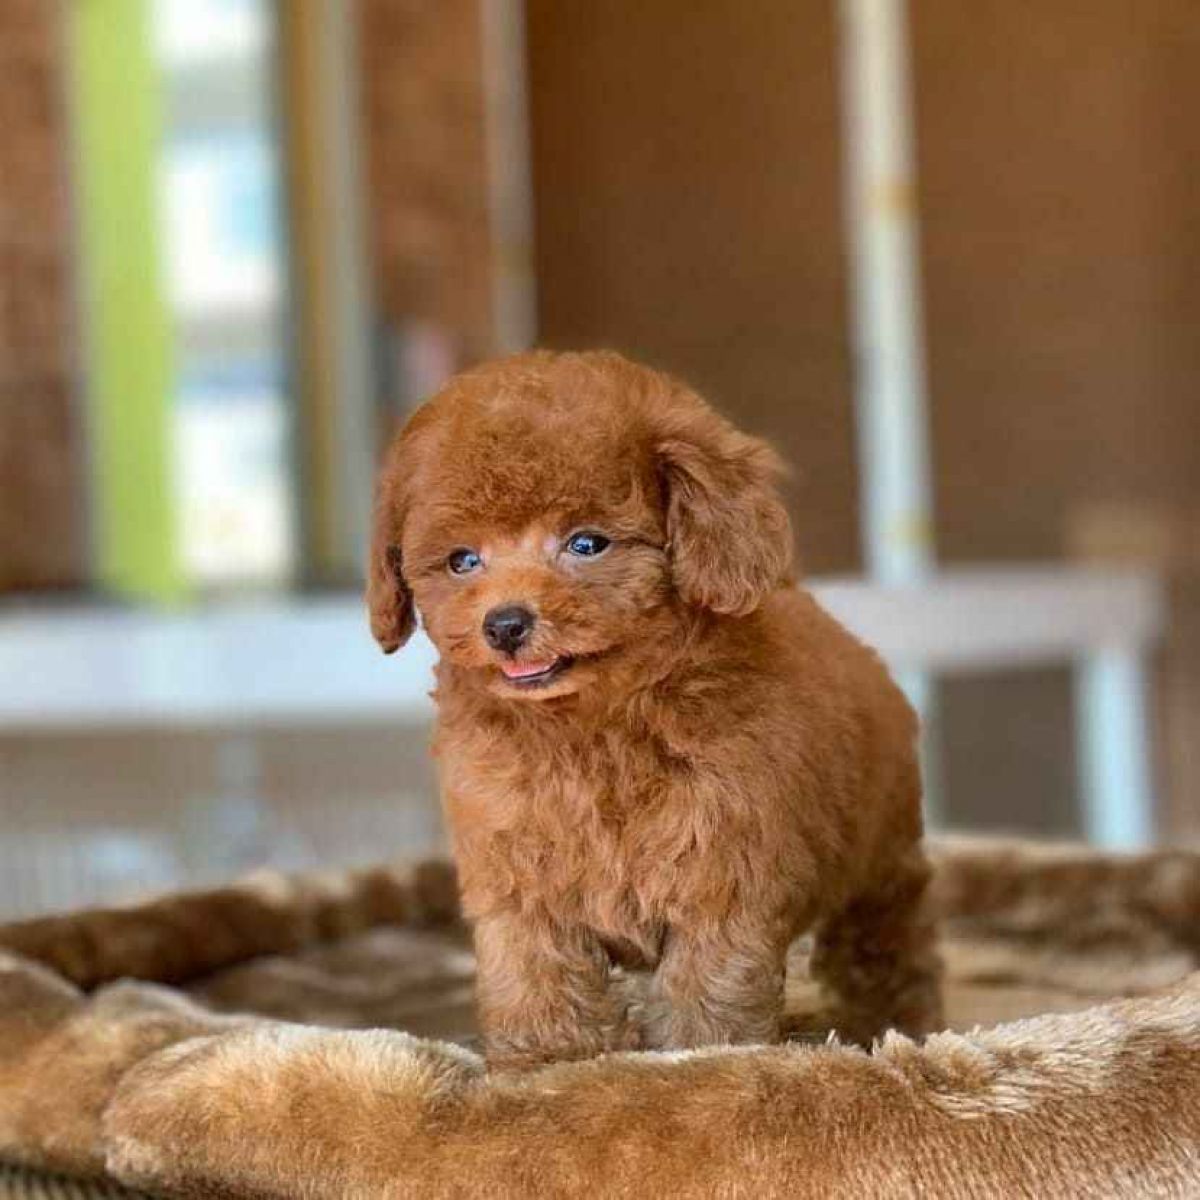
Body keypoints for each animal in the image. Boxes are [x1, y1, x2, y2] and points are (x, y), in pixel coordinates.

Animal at [368, 349, 942, 1069]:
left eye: (587, 544)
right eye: (462, 560)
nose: (504, 624)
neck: (589, 727)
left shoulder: (722, 881)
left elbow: (707, 997)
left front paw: (695, 1067)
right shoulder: (519, 884)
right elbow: (536, 983)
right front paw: (546, 1067)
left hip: (883, 858)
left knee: (890, 941)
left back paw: (900, 1024)